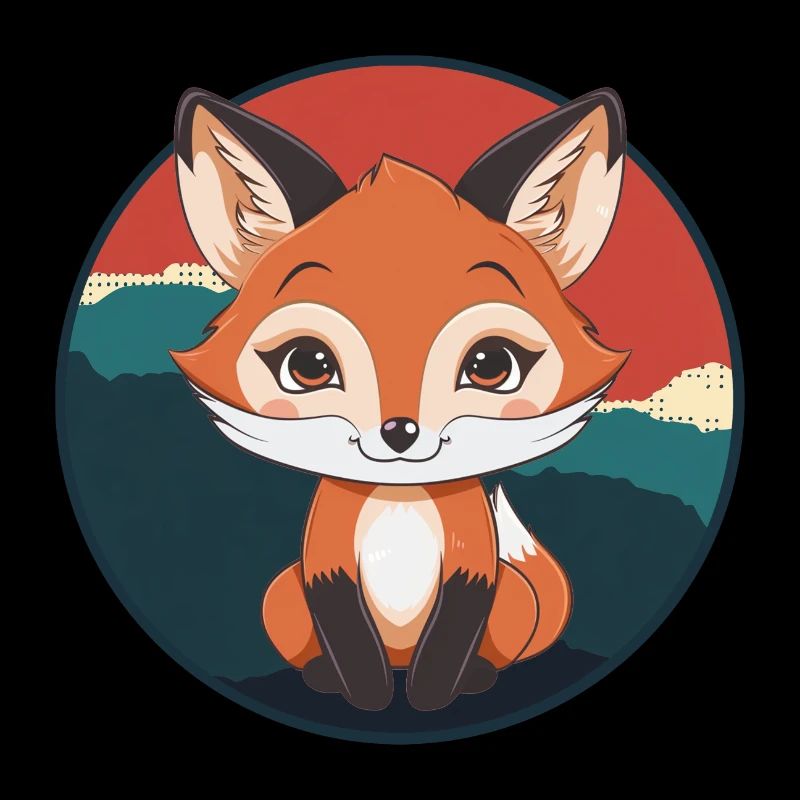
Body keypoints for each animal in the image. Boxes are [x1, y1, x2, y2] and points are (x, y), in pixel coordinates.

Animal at [171, 86, 628, 711]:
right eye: (308, 364)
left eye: (491, 364)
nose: (399, 432)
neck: (400, 499)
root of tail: (399, 658)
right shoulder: (324, 563)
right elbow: (346, 635)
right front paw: (365, 699)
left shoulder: (474, 565)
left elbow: (453, 636)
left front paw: (434, 699)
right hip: (281, 593)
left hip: (510, 598)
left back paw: (472, 677)